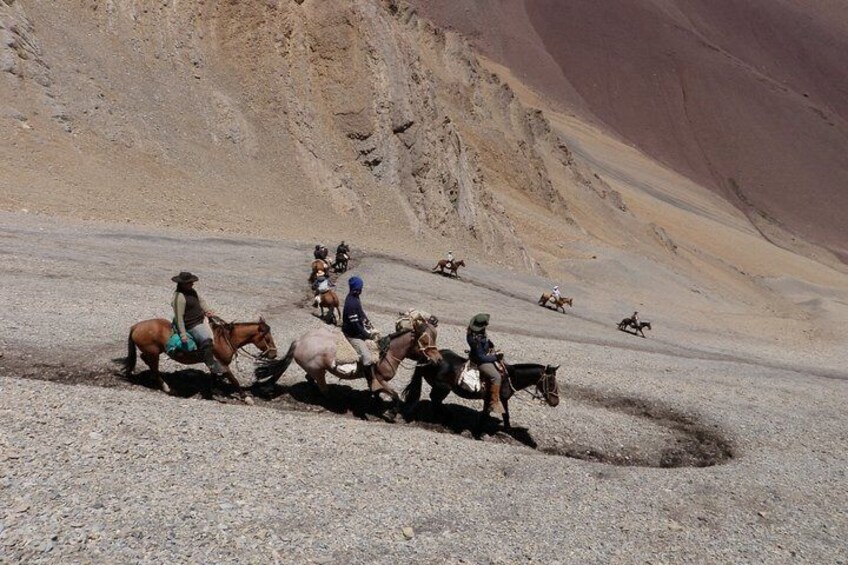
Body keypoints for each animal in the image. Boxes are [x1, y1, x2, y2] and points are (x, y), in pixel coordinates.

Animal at [118, 318, 278, 396]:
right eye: (268, 338)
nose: (274, 353)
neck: (225, 339)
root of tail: (136, 326)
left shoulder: (215, 363)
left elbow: (214, 377)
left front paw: (214, 390)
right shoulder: (222, 364)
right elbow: (234, 380)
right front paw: (246, 397)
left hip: (153, 352)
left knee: (145, 359)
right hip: (153, 353)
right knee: (153, 367)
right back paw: (166, 387)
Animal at [253, 324, 444, 408]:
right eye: (425, 341)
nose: (438, 359)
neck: (387, 353)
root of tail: (299, 341)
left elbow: (376, 392)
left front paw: (374, 400)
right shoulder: (381, 379)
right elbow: (394, 395)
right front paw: (390, 411)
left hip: (317, 369)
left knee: (311, 379)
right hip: (318, 370)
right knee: (322, 387)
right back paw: (332, 400)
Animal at [402, 348, 560, 436]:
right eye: (551, 382)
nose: (555, 402)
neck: (509, 377)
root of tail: (428, 357)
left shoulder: (500, 399)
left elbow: (504, 415)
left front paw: (506, 431)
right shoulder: (494, 398)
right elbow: (488, 416)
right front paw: (478, 433)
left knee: (435, 401)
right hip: (443, 387)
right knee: (435, 400)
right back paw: (446, 418)